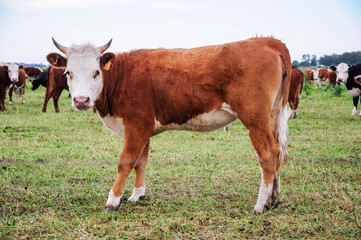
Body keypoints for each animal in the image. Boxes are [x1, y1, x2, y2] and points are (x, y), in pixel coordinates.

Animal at [46, 37, 292, 214]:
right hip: (271, 117)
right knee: (278, 152)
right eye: (68, 72)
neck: (122, 77)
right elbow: (141, 162)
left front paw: (113, 200)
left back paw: (260, 205)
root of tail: (267, 41)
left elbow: (125, 162)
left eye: (96, 72)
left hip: (254, 118)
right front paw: (137, 195)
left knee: (268, 154)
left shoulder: (136, 126)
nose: (81, 100)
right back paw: (273, 199)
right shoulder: (143, 129)